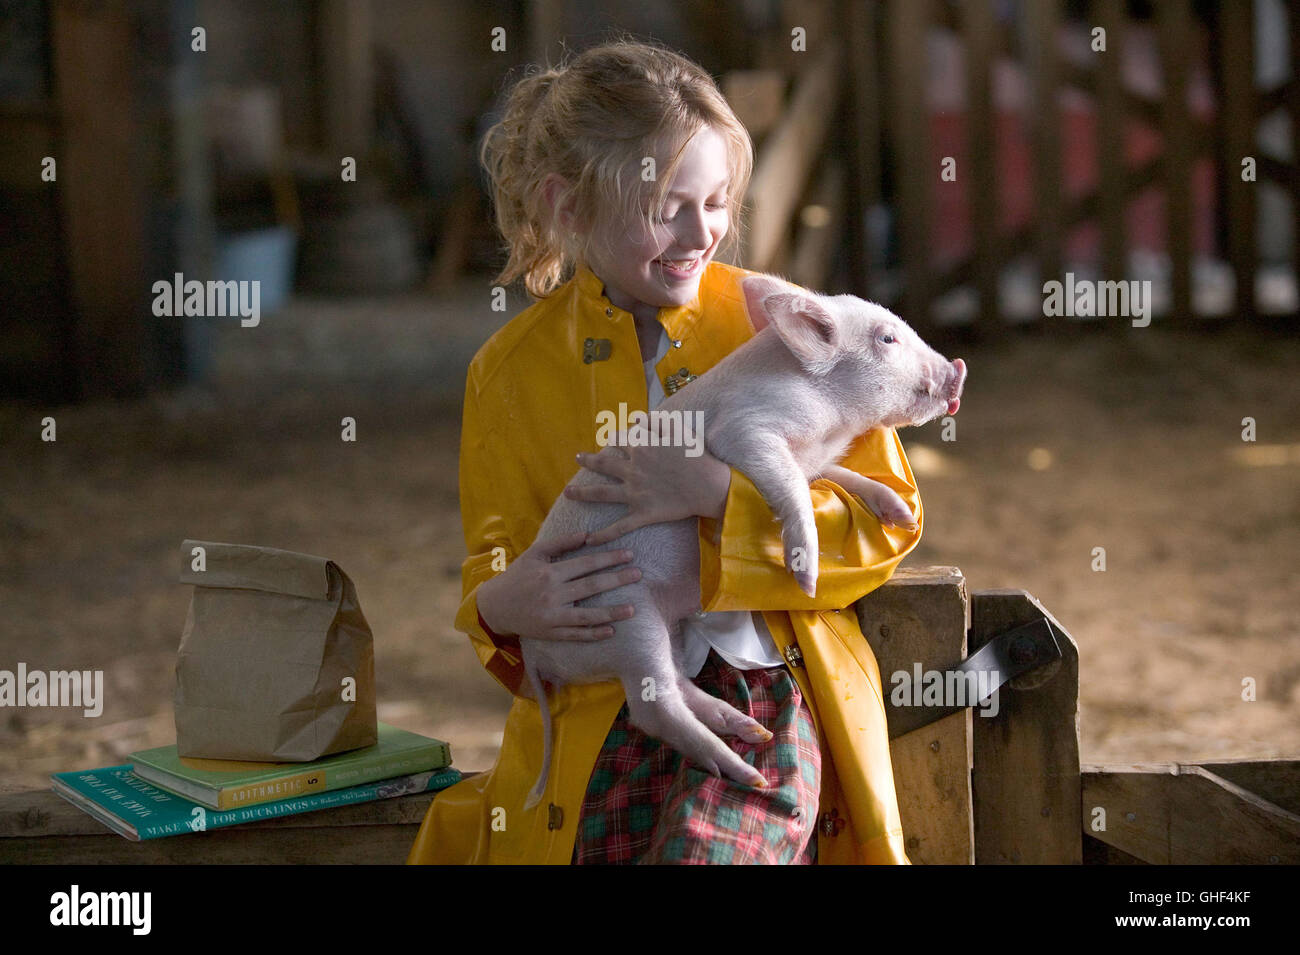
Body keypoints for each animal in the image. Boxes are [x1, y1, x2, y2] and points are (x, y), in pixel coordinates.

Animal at [520, 274, 967, 809]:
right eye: (887, 339)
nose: (957, 368)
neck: (830, 423)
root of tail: (534, 649)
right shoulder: (749, 430)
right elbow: (793, 488)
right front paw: (806, 577)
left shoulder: (815, 459)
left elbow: (840, 479)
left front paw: (897, 513)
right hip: (623, 613)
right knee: (654, 706)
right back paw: (745, 772)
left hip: (654, 626)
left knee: (674, 684)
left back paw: (752, 732)